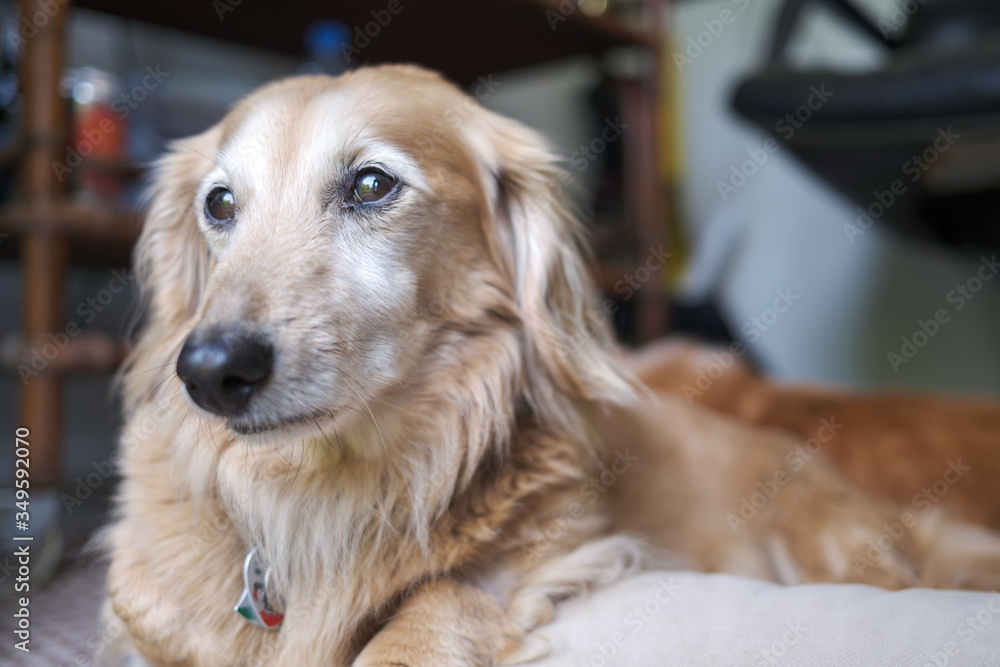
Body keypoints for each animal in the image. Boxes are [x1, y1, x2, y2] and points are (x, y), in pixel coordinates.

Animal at [101, 66, 1000, 667]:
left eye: (370, 184)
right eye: (220, 204)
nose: (209, 371)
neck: (317, 490)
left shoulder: (560, 557)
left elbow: (426, 606)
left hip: (838, 552)